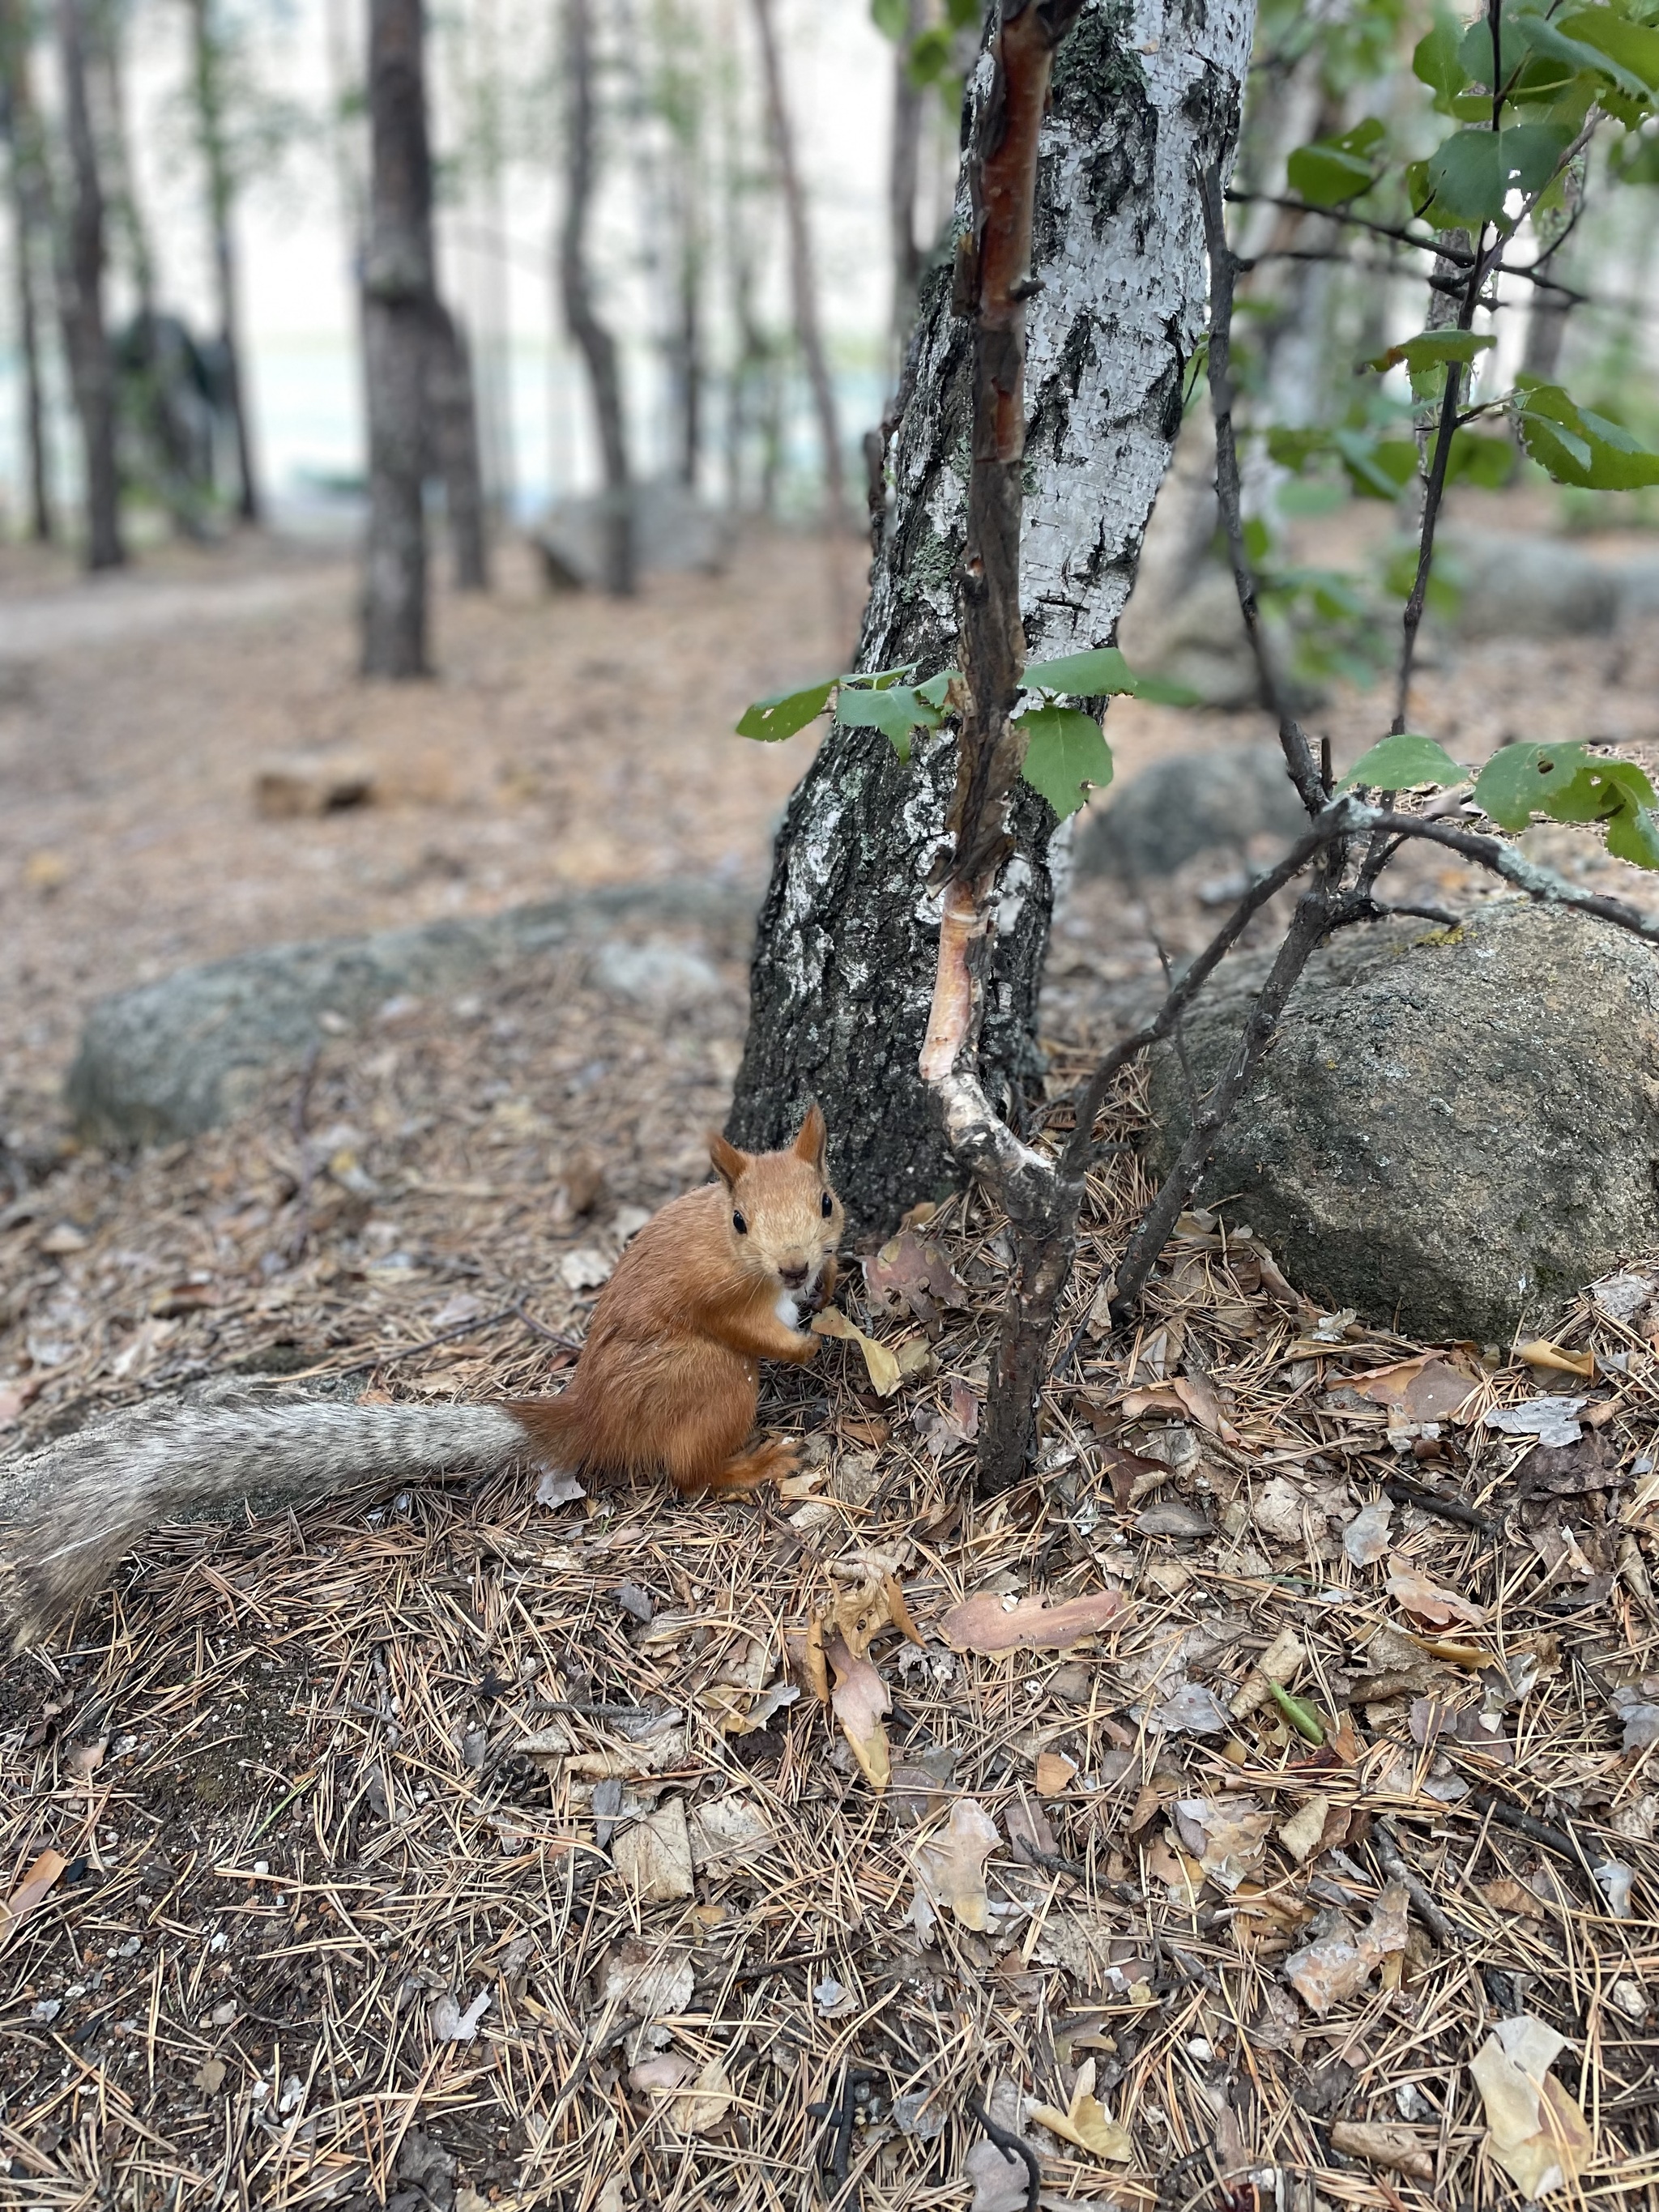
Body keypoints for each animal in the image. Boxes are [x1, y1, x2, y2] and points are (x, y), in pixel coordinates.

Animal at [3, 1106, 845, 1645]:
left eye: (827, 1200)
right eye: (739, 1221)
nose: (794, 1267)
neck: (738, 1257)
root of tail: (589, 1411)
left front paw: (832, 1291)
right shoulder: (716, 1298)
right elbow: (745, 1326)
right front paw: (806, 1346)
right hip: (708, 1381)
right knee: (690, 1472)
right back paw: (754, 1463)